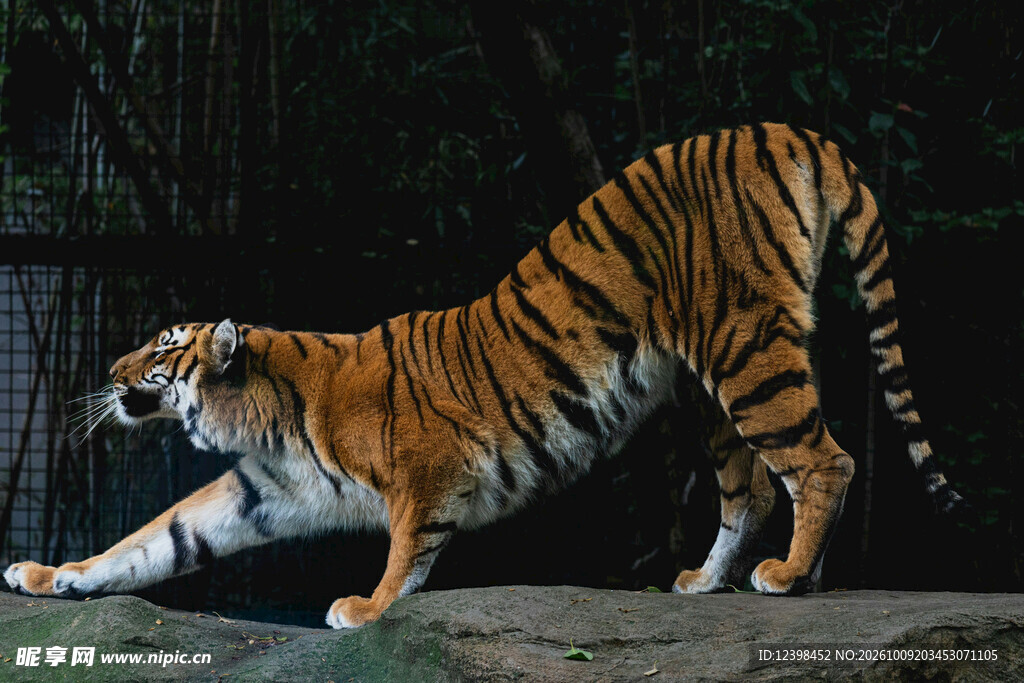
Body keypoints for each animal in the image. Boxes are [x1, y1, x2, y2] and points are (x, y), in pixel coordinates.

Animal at [4, 123, 963, 628]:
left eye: (163, 344)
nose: (110, 367)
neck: (262, 412)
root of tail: (786, 128)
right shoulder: (258, 490)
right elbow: (153, 540)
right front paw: (48, 576)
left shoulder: (429, 469)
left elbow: (407, 547)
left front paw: (365, 607)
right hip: (711, 387)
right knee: (753, 487)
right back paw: (715, 579)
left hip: (746, 351)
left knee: (825, 459)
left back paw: (789, 575)